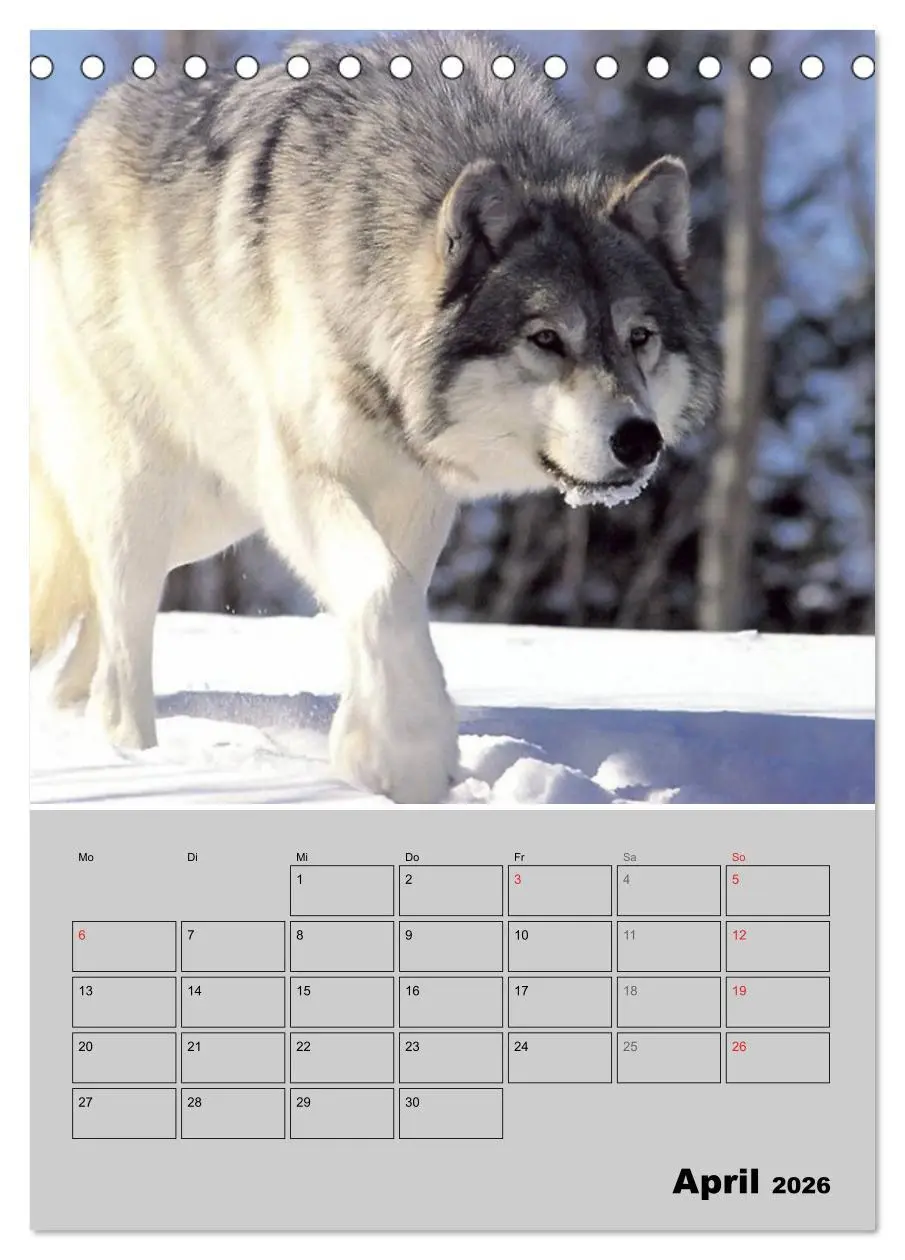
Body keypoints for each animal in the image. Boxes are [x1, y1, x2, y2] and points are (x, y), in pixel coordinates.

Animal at [30, 31, 720, 803]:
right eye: (546, 339)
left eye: (639, 338)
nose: (640, 440)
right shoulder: (300, 475)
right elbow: (383, 591)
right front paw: (406, 753)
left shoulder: (415, 490)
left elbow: (393, 599)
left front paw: (371, 745)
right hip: (147, 494)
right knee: (118, 647)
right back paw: (133, 756)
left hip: (210, 519)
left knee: (93, 625)